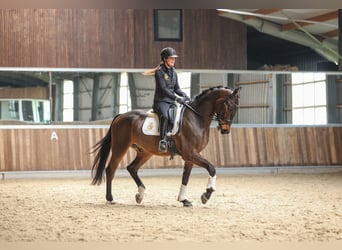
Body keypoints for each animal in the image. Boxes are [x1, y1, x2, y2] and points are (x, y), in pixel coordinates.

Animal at [91, 86, 240, 207]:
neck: (196, 117)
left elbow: (185, 177)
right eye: (228, 105)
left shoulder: (190, 157)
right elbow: (211, 168)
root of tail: (121, 115)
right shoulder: (190, 154)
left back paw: (140, 195)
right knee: (111, 169)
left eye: (236, 108)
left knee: (132, 168)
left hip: (145, 152)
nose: (225, 130)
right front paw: (206, 194)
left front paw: (184, 200)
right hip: (120, 147)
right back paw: (111, 199)